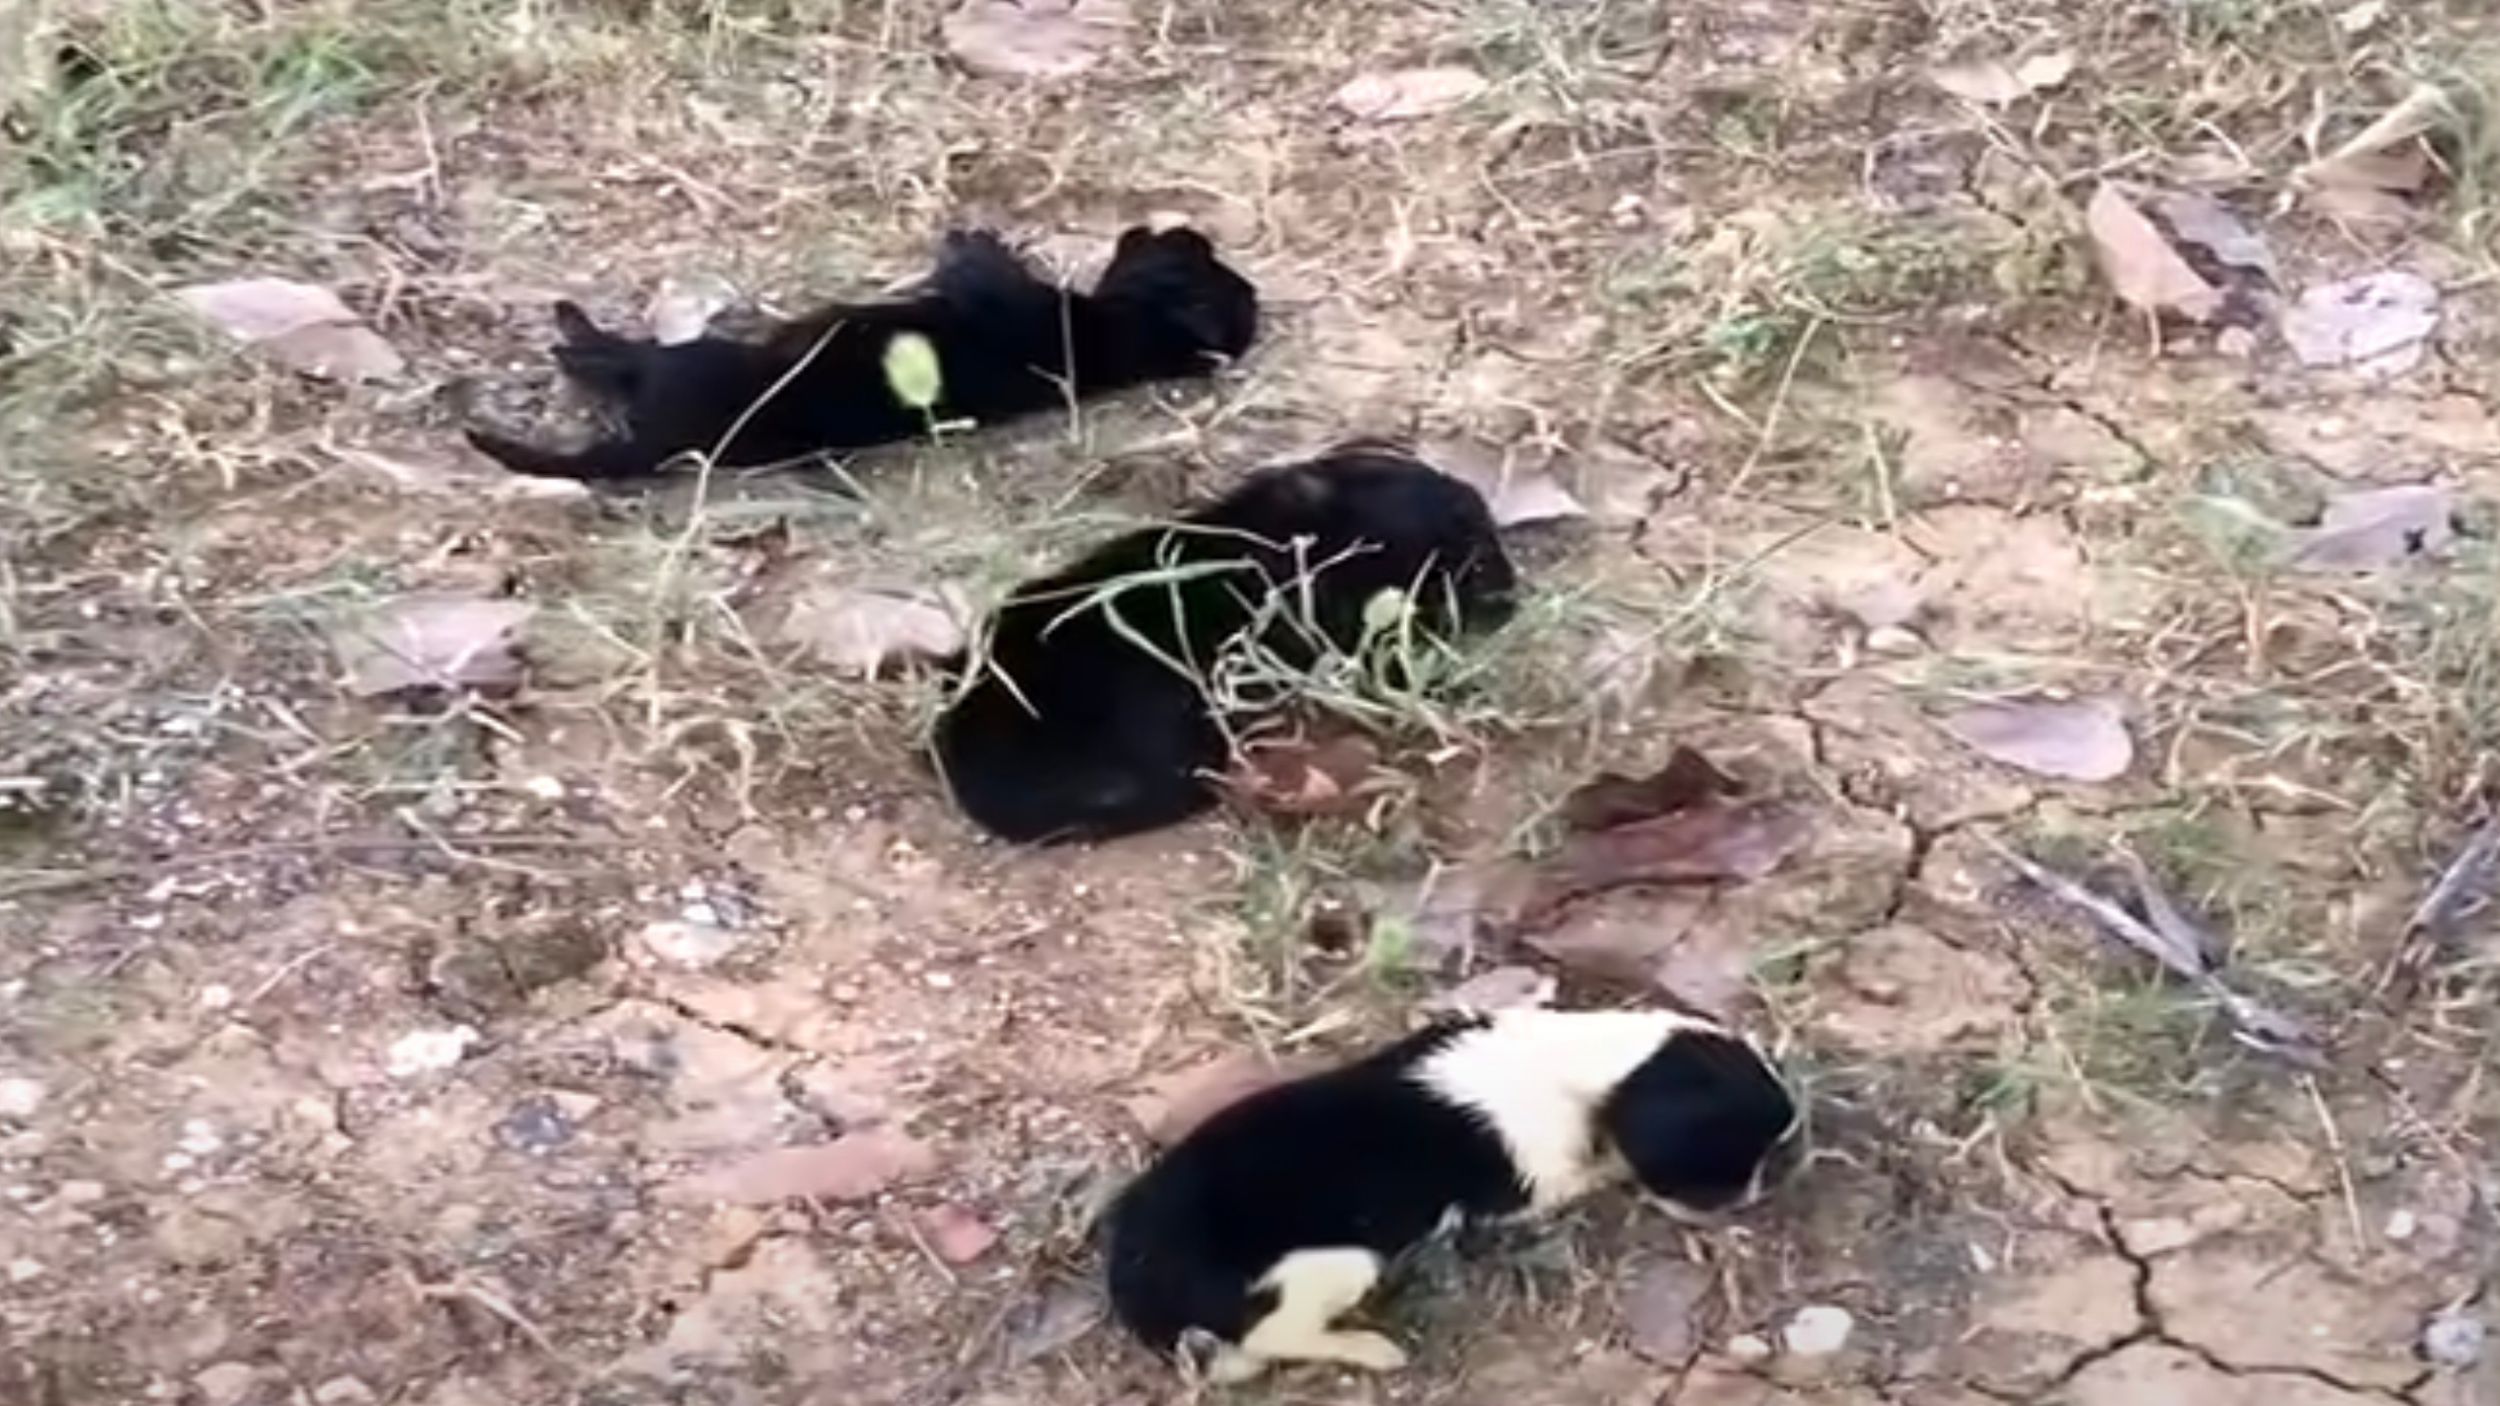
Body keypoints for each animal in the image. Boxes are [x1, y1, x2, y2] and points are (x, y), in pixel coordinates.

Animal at [462, 223, 1260, 475]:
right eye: (1200, 251)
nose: (1182, 228)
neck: (1121, 338)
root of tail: (668, 442)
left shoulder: (1013, 303)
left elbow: (982, 271)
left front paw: (970, 239)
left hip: (691, 362)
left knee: (614, 361)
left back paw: (572, 334)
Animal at [1100, 1005, 1800, 1380]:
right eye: (1732, 1166)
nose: (1752, 1199)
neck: (1577, 1059)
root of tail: (1140, 1288)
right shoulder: (1533, 1182)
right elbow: (1592, 1172)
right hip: (1339, 1263)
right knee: (1273, 1334)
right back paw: (1369, 1347)